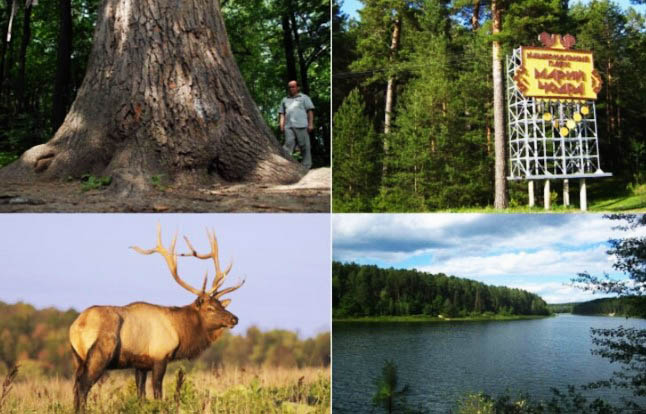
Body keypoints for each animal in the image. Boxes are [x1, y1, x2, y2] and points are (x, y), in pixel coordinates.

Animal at [68, 225, 244, 412]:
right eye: (210, 308)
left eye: (221, 305)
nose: (234, 319)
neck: (179, 331)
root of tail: (76, 327)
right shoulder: (160, 356)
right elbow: (158, 394)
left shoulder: (141, 364)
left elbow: (141, 395)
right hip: (100, 355)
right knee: (83, 386)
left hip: (77, 358)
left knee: (76, 386)